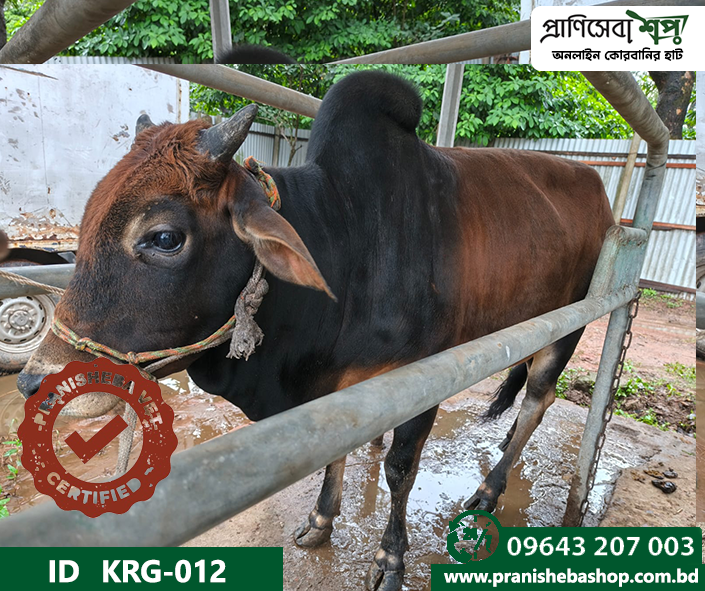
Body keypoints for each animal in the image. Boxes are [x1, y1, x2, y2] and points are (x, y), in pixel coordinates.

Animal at [17, 70, 614, 590]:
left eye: (164, 238)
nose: (33, 383)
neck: (350, 239)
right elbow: (335, 453)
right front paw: (322, 520)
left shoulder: (426, 378)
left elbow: (401, 469)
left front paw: (390, 558)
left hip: (569, 329)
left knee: (538, 399)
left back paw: (489, 491)